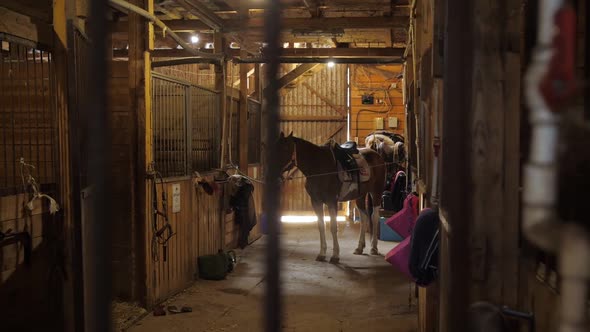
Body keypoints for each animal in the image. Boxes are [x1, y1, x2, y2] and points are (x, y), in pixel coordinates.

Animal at [278, 131, 388, 264]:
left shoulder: (331, 202)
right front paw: (322, 254)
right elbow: (321, 226)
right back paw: (359, 247)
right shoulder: (316, 201)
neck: (319, 168)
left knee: (374, 217)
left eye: (285, 148)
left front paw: (335, 256)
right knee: (364, 218)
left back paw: (374, 247)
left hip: (376, 193)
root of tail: (376, 155)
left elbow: (333, 227)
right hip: (360, 196)